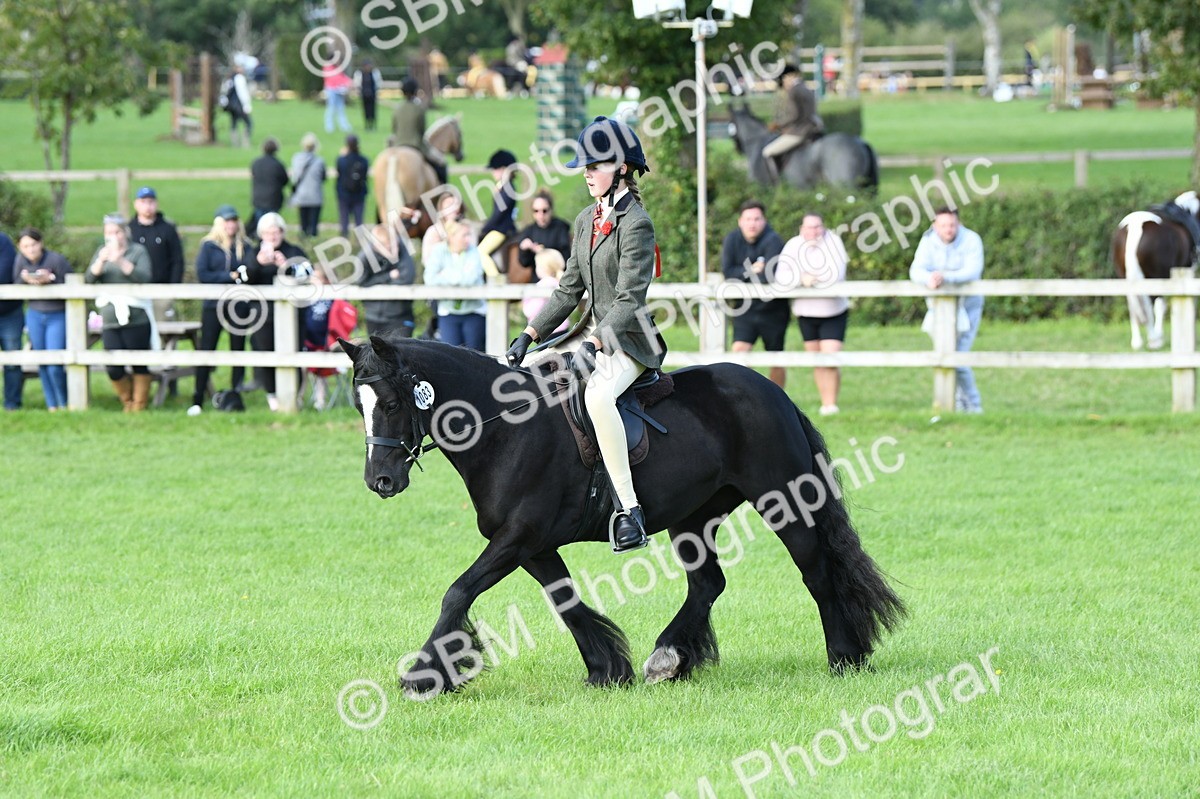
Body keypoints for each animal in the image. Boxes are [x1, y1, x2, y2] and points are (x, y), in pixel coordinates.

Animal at [338, 334, 905, 698]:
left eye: (391, 402)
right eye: (359, 404)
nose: (379, 481)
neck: (506, 428)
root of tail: (773, 392)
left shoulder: (516, 538)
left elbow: (457, 592)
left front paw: (424, 677)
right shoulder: (533, 546)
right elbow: (566, 603)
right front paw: (607, 669)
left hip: (781, 499)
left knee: (816, 571)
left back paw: (843, 657)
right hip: (693, 517)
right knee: (708, 583)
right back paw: (669, 659)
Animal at [1112, 190, 1200, 350]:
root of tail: (1134, 229)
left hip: (1125, 277)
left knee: (1133, 305)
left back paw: (1137, 341)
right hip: (1156, 276)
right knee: (1151, 304)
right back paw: (1154, 339)